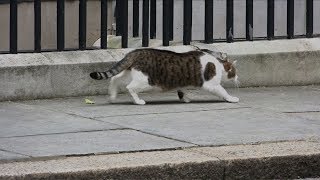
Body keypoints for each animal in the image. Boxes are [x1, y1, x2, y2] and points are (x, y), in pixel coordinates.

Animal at [89, 48, 239, 105]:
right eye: (235, 72)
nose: (238, 78)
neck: (218, 64)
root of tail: (135, 52)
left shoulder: (181, 83)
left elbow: (182, 91)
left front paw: (185, 99)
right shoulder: (211, 84)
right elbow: (223, 91)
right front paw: (232, 98)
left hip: (130, 73)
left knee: (115, 79)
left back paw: (112, 96)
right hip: (145, 80)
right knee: (129, 87)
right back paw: (138, 101)